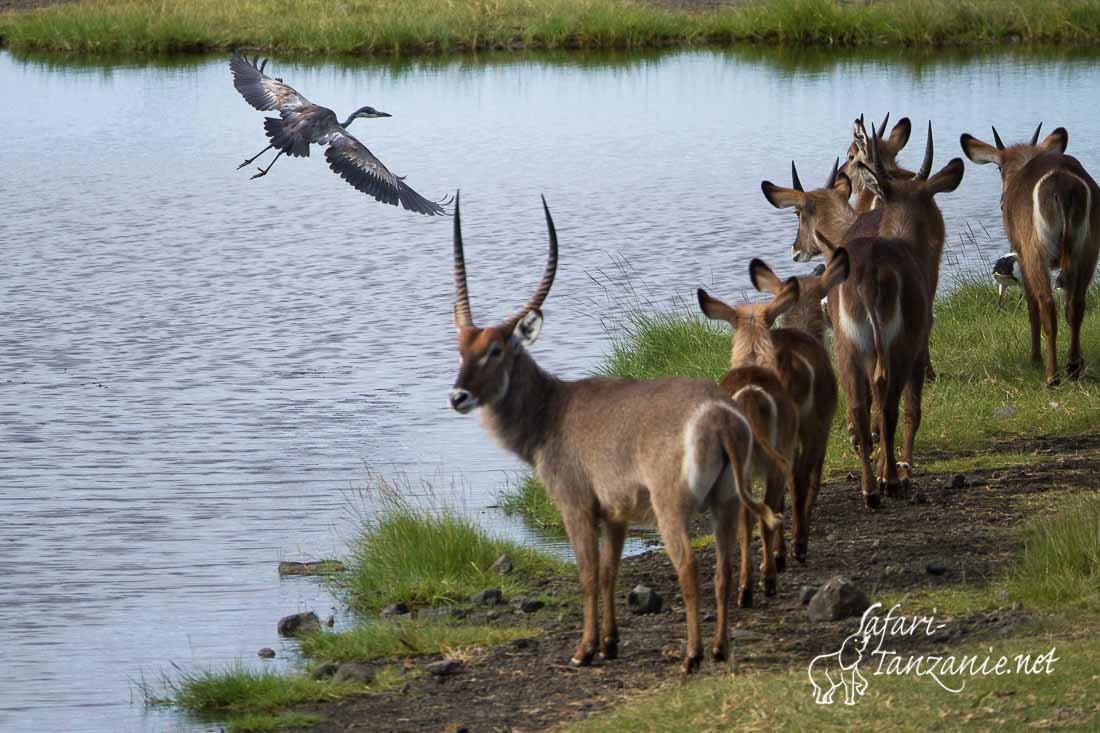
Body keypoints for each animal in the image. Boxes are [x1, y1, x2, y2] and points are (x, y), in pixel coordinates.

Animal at [451, 192, 778, 669]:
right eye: (460, 348)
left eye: (495, 349)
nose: (458, 396)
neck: (552, 409)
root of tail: (719, 414)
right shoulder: (616, 514)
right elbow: (611, 572)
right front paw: (610, 642)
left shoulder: (575, 506)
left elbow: (588, 574)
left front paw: (585, 650)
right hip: (727, 501)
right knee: (724, 568)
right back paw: (718, 648)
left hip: (671, 506)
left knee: (689, 568)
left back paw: (692, 655)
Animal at [695, 278, 800, 603]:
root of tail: (752, 396)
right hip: (774, 464)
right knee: (764, 515)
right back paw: (766, 581)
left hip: (737, 469)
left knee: (746, 519)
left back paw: (745, 589)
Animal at [959, 121, 1095, 383]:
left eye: (999, 168)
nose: (1002, 202)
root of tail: (1062, 182)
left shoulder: (1021, 253)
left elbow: (1031, 306)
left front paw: (1034, 357)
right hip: (1086, 252)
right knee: (1075, 304)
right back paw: (1073, 367)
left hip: (1036, 253)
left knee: (1046, 305)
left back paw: (1051, 375)